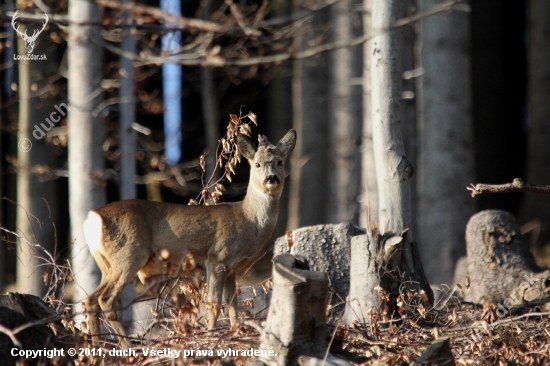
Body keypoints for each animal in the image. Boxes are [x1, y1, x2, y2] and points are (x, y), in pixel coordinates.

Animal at [83, 130, 298, 348]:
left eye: (280, 162)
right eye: (257, 164)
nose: (272, 178)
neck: (248, 220)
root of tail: (93, 218)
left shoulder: (231, 271)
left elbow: (233, 306)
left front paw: (235, 333)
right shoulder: (218, 257)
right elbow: (214, 304)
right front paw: (211, 337)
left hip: (108, 263)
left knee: (91, 300)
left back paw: (96, 346)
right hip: (129, 254)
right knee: (106, 299)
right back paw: (126, 347)